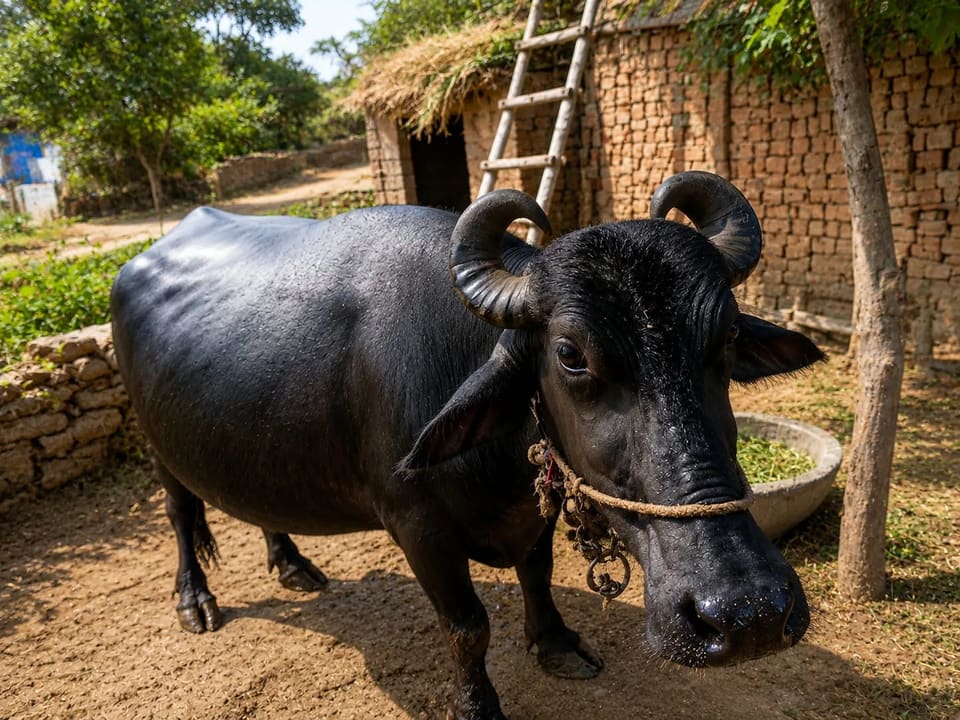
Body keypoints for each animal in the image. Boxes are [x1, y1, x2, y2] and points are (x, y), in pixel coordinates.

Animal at [111, 171, 824, 719]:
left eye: (728, 337)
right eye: (570, 355)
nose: (747, 613)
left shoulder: (532, 512)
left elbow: (537, 573)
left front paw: (556, 643)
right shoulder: (415, 526)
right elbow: (467, 627)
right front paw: (477, 705)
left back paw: (291, 563)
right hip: (158, 450)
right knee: (181, 513)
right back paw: (195, 600)